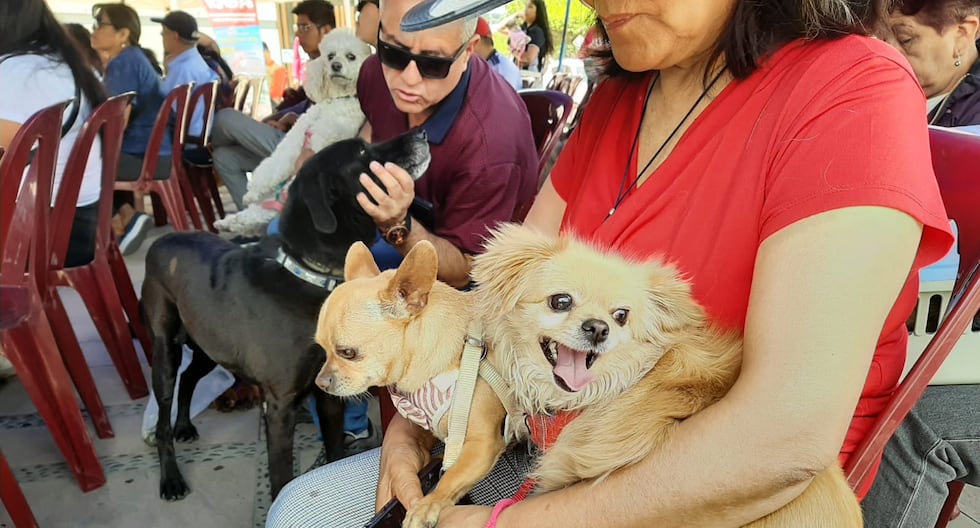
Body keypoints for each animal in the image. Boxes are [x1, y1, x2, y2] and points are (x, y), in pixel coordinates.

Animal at [141, 131, 428, 500]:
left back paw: (185, 425)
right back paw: (171, 477)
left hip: (207, 342)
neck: (308, 275)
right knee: (166, 404)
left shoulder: (329, 394)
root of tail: (162, 240)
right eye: (363, 152)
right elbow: (280, 477)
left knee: (190, 377)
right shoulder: (279, 405)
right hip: (166, 351)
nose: (422, 133)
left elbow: (335, 450)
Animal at [215, 28, 372, 235]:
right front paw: (253, 191)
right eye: (330, 56)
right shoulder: (296, 138)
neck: (337, 100)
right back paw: (228, 220)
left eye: (351, 56)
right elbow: (275, 165)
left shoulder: (332, 133)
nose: (335, 66)